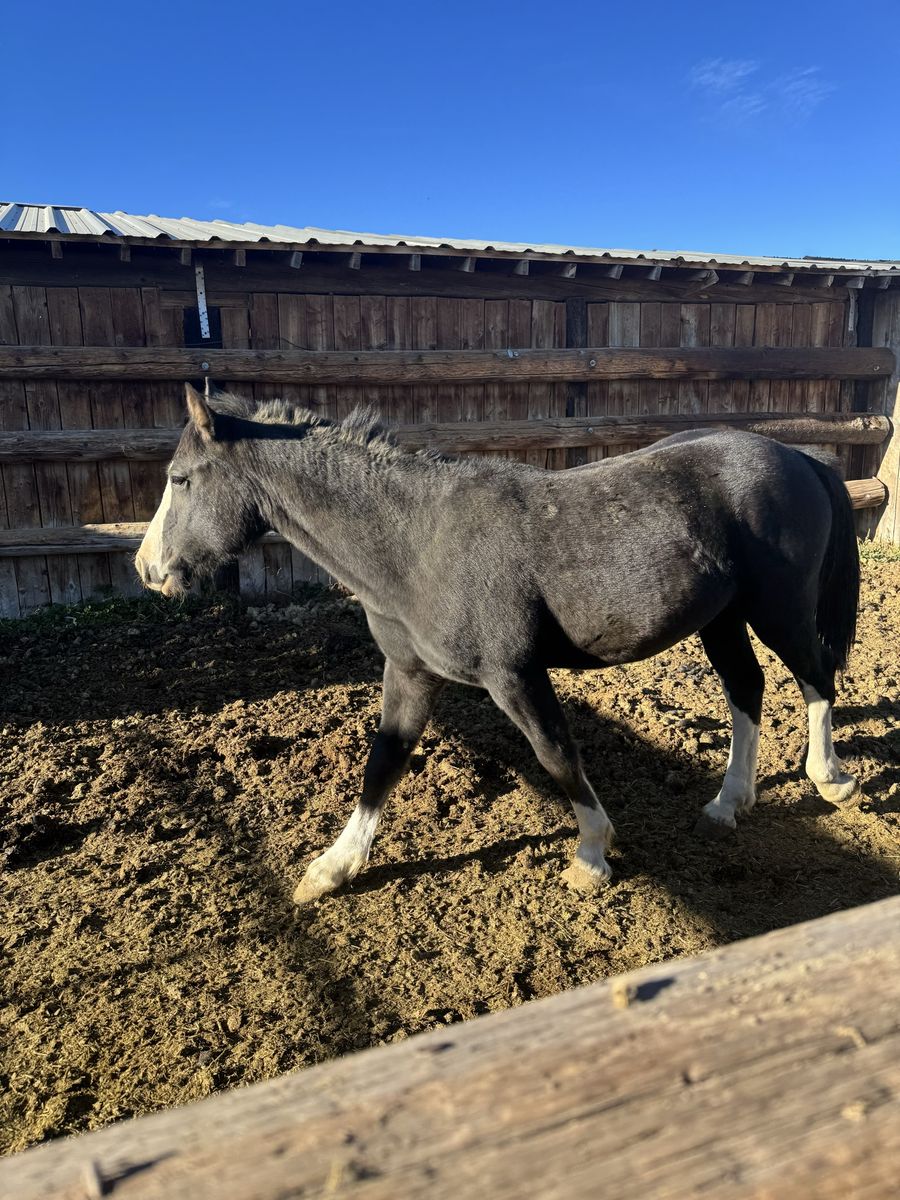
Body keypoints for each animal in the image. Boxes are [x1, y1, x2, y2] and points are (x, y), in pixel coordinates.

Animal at [136, 383, 860, 904]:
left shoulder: (513, 675)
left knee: (816, 676)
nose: (146, 569)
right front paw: (332, 868)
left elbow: (556, 754)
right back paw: (729, 803)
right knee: (747, 688)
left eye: (180, 478)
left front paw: (591, 856)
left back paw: (830, 780)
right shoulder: (409, 672)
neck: (415, 542)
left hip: (779, 610)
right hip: (721, 619)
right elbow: (383, 763)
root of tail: (800, 457)